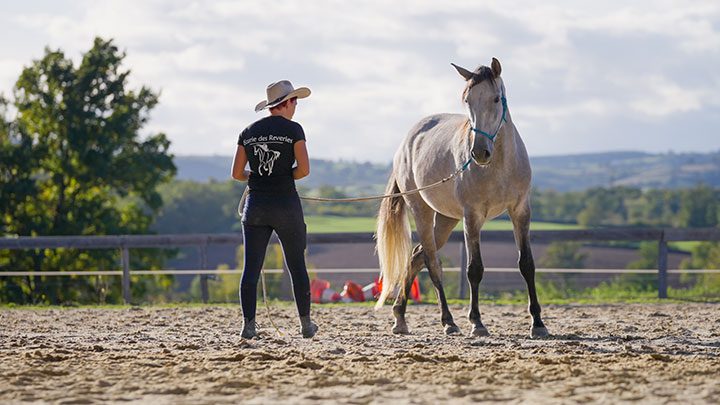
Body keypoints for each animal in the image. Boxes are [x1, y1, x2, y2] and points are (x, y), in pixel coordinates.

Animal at [375, 58, 549, 338]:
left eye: (496, 99)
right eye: (467, 100)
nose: (479, 152)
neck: (499, 165)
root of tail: (406, 143)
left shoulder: (521, 211)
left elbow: (527, 265)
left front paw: (538, 323)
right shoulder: (472, 217)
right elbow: (474, 269)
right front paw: (476, 322)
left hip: (446, 219)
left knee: (417, 256)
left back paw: (400, 316)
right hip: (422, 211)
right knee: (432, 261)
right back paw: (448, 321)